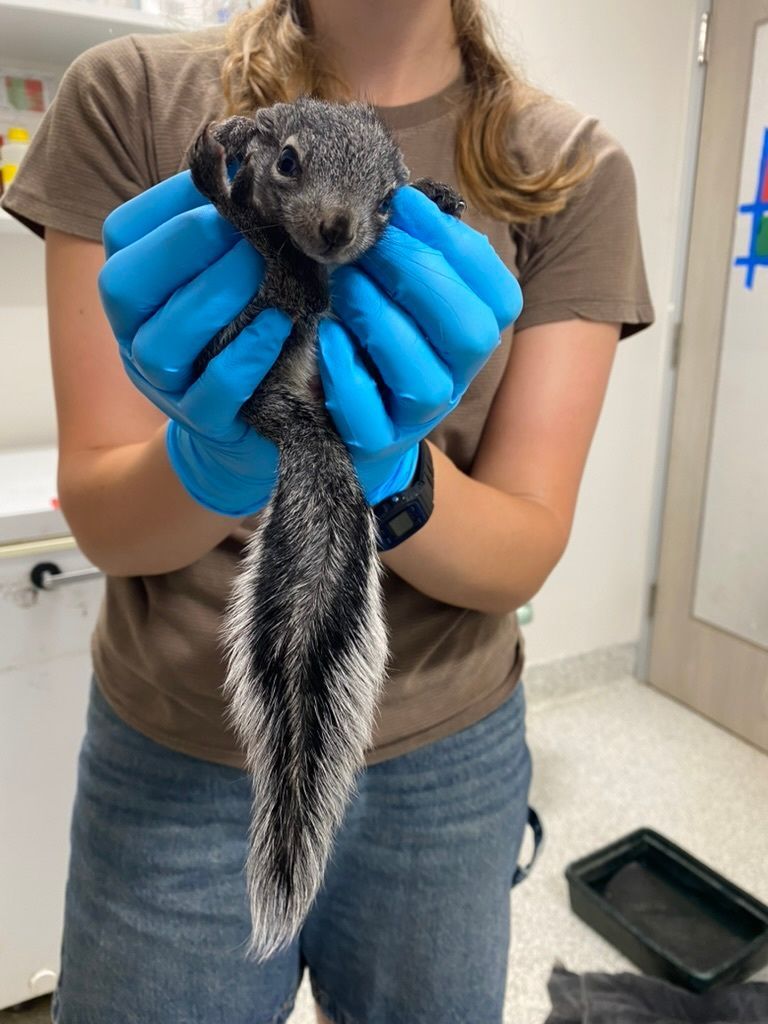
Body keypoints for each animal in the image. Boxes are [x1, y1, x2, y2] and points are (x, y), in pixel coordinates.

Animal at [187, 97, 465, 961]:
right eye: (287, 162)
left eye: (387, 198)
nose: (339, 231)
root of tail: (284, 413)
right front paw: (222, 161)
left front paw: (440, 197)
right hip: (244, 328)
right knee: (282, 281)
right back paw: (227, 194)